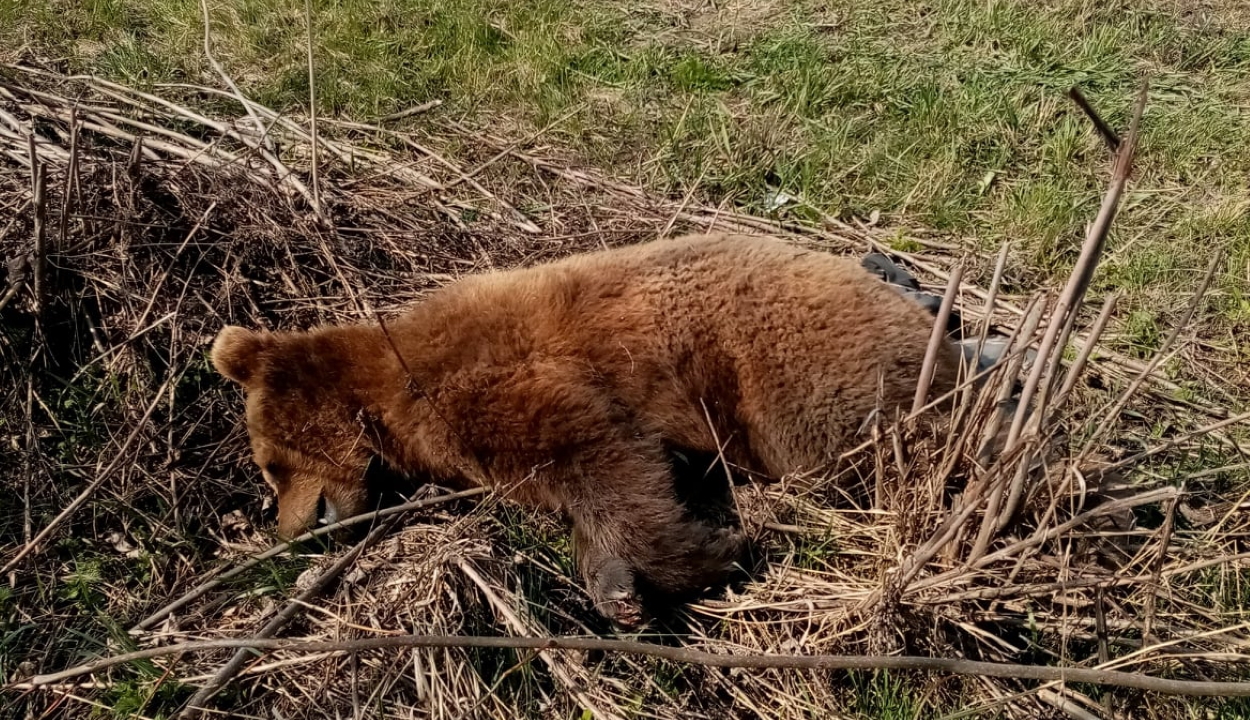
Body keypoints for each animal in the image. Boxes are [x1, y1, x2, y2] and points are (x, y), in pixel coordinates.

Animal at [212, 233, 955, 627]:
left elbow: (600, 455)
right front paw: (620, 587)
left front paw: (704, 555)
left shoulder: (499, 386)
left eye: (271, 465)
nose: (289, 531)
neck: (388, 392)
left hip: (797, 373)